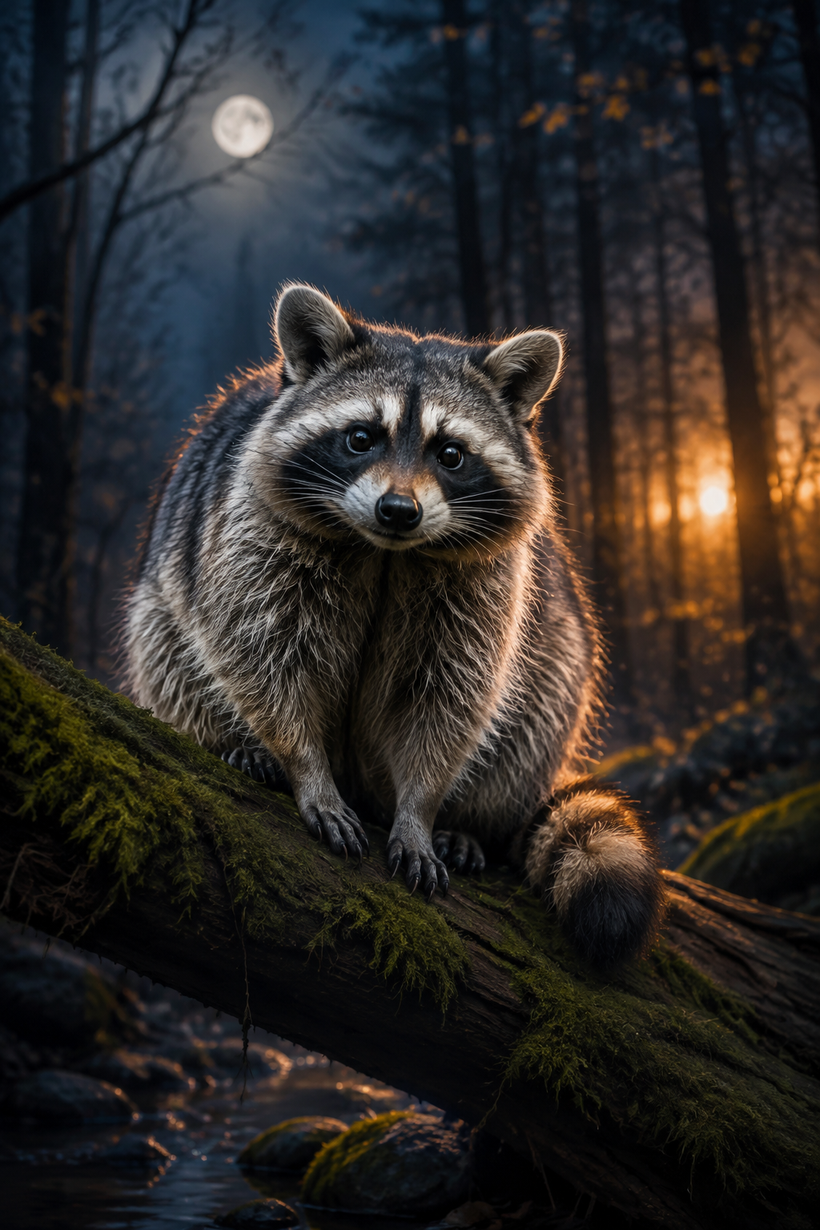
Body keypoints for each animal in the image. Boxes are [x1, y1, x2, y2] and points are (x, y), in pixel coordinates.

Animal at [125, 284, 663, 968]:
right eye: (361, 438)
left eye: (451, 454)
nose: (398, 510)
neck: (386, 550)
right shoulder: (250, 537)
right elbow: (263, 653)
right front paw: (304, 765)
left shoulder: (485, 585)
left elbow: (451, 699)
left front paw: (422, 809)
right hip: (163, 594)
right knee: (166, 649)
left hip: (561, 650)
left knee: (536, 711)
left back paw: (470, 822)